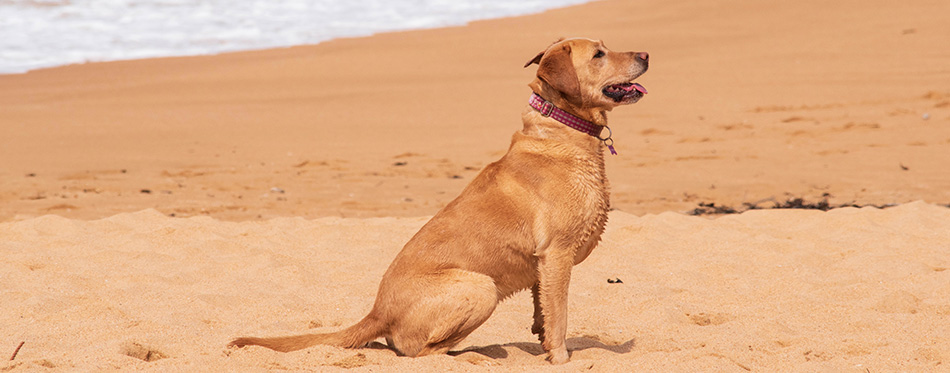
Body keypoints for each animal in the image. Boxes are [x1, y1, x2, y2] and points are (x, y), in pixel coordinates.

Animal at [230, 37, 648, 364]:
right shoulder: (557, 254)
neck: (562, 131)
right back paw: (477, 356)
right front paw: (560, 357)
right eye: (598, 54)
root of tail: (377, 312)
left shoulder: (542, 266)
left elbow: (543, 311)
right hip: (480, 287)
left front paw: (542, 340)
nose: (646, 54)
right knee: (421, 352)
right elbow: (559, 314)